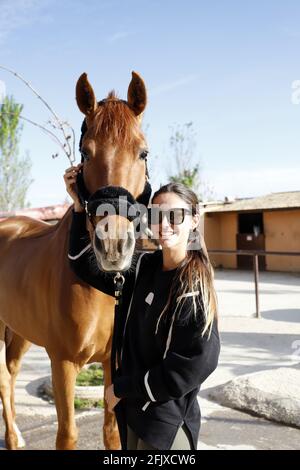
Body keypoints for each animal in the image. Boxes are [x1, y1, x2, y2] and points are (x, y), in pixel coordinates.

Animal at [0, 71, 149, 450]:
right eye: (85, 151)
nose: (113, 244)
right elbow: (67, 435)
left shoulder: (113, 363)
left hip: (19, 330)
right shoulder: (62, 364)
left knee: (10, 374)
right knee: (4, 380)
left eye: (143, 152)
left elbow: (112, 432)